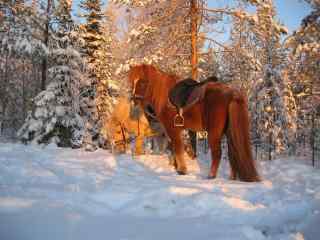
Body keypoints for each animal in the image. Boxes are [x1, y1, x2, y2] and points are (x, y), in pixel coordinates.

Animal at [127, 63, 260, 182]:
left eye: (143, 82)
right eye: (132, 82)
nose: (134, 100)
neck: (163, 94)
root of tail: (231, 93)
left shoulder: (172, 129)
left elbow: (178, 148)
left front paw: (182, 170)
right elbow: (173, 147)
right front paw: (175, 166)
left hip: (214, 133)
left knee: (217, 153)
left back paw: (211, 176)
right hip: (229, 132)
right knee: (233, 153)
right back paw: (232, 177)